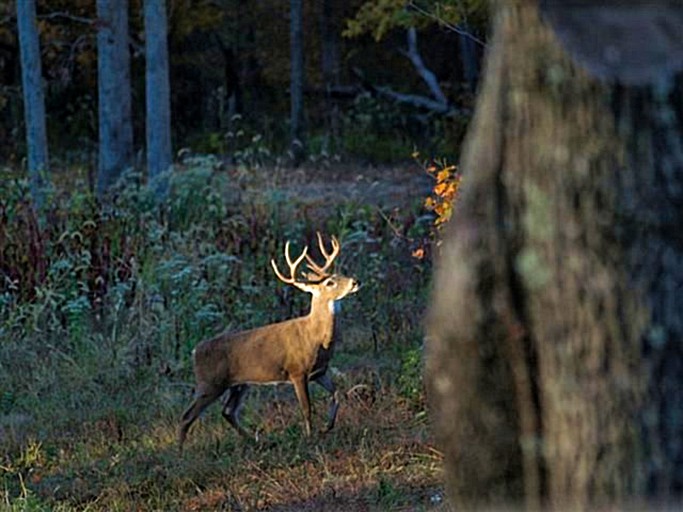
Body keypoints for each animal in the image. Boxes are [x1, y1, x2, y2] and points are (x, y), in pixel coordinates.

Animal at [176, 234, 360, 446]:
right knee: (187, 416)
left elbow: (337, 394)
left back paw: (254, 440)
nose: (356, 281)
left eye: (340, 273)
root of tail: (195, 351)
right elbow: (307, 408)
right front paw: (309, 438)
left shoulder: (319, 372)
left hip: (239, 384)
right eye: (330, 282)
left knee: (228, 411)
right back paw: (180, 451)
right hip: (210, 383)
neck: (316, 338)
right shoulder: (297, 371)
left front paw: (326, 427)